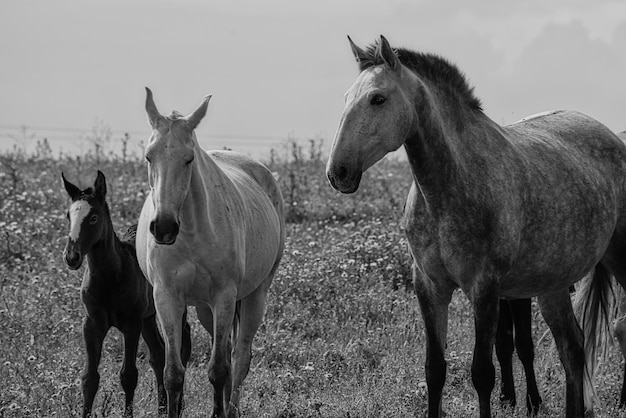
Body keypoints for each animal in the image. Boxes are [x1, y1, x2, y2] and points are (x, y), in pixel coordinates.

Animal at [63, 171, 191, 418]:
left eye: (93, 217)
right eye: (68, 216)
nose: (72, 257)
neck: (110, 277)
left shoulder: (131, 324)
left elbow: (129, 375)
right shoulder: (91, 324)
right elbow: (89, 378)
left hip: (170, 307)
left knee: (181, 345)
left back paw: (177, 407)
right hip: (149, 317)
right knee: (158, 354)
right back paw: (162, 409)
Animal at [138, 88, 286, 418]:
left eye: (189, 158)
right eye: (149, 156)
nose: (164, 227)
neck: (191, 230)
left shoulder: (224, 296)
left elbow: (219, 369)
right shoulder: (166, 297)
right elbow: (173, 372)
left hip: (255, 296)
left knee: (240, 357)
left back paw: (232, 409)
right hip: (205, 310)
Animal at [326, 36, 624, 418]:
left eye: (378, 98)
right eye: (346, 97)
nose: (338, 172)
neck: (450, 186)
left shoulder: (484, 289)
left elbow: (483, 372)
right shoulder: (430, 286)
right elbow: (434, 370)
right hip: (553, 284)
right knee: (572, 347)